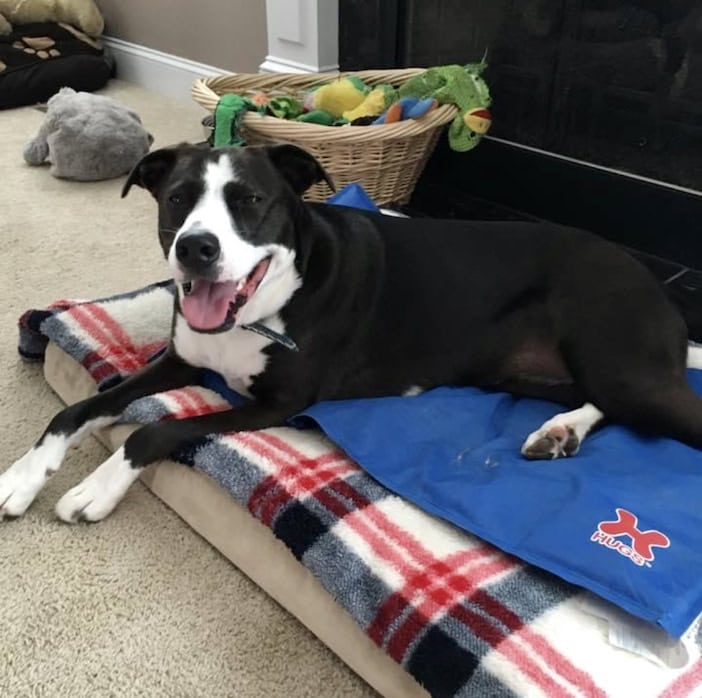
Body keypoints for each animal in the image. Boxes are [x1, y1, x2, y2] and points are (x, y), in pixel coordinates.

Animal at [1, 143, 702, 520]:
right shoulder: (179, 360)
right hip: (530, 370)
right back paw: (559, 433)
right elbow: (80, 409)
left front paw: (95, 488)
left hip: (624, 364)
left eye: (250, 201)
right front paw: (24, 476)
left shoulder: (278, 403)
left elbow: (154, 428)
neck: (271, 299)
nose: (196, 248)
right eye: (176, 198)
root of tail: (654, 282)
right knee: (596, 402)